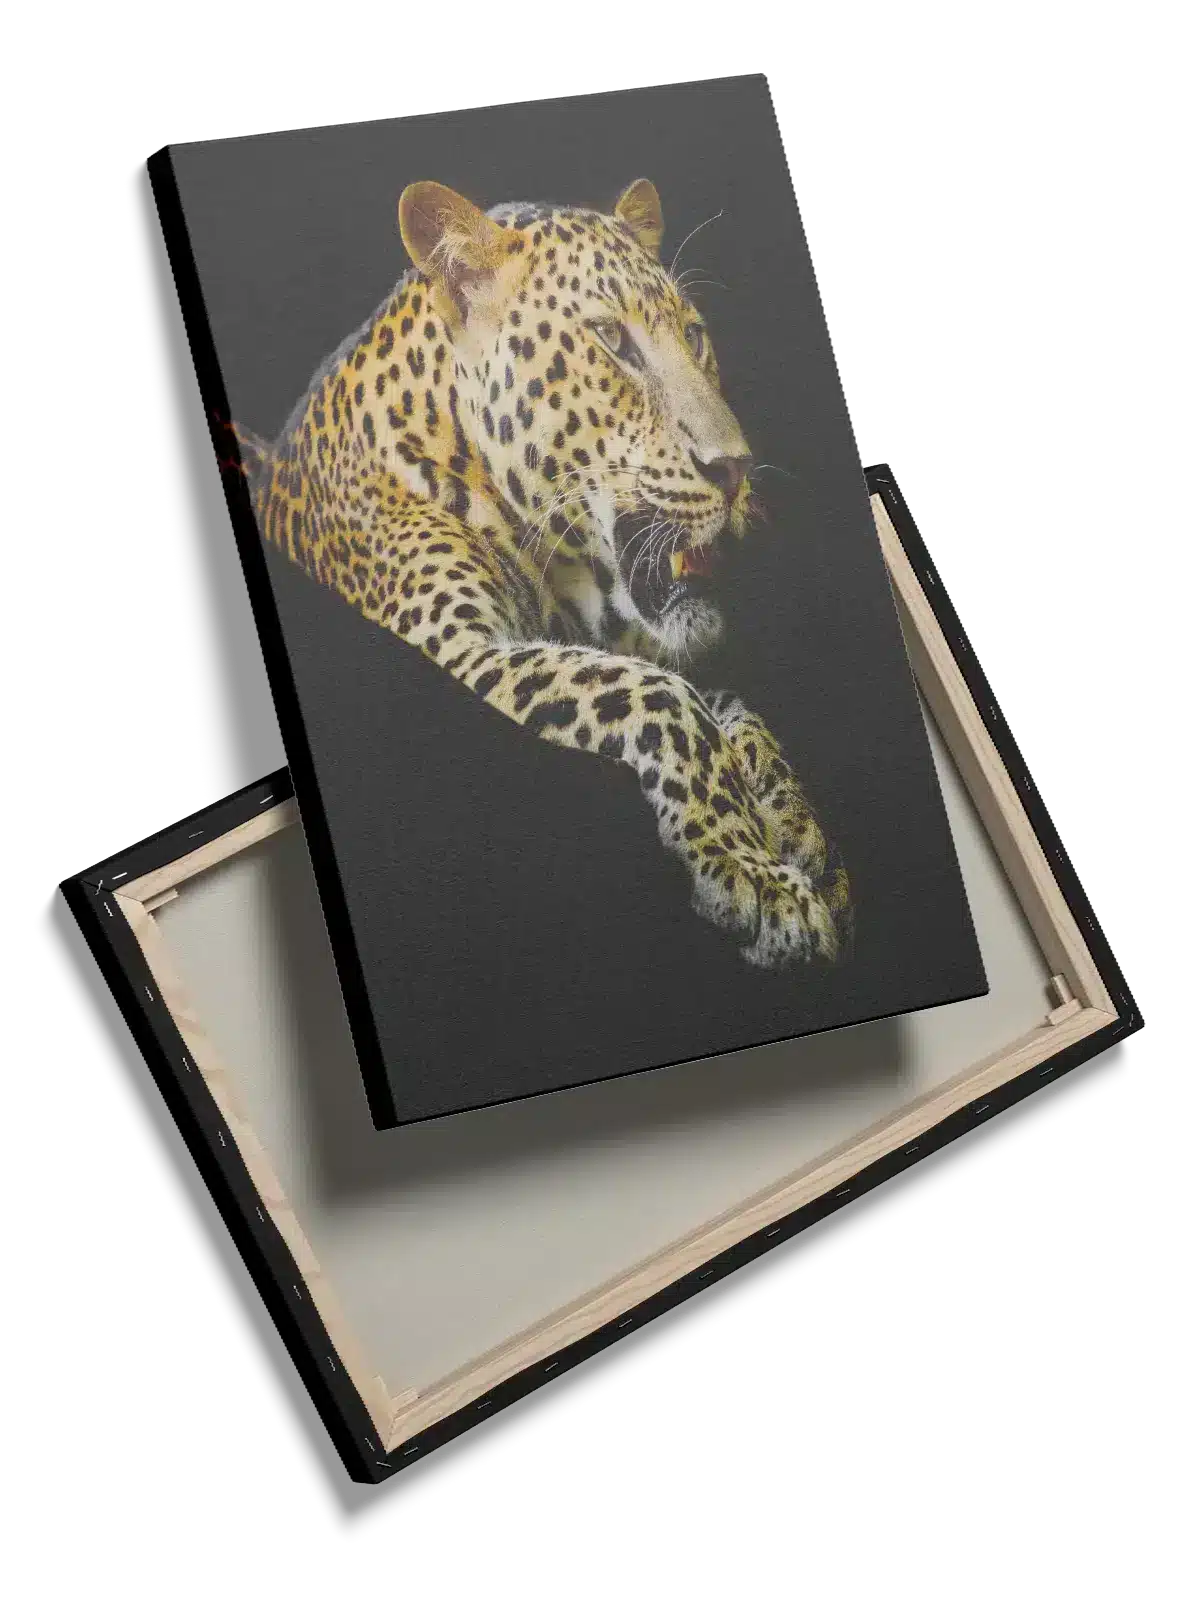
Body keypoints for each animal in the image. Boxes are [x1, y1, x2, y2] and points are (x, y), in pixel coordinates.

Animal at [232, 177, 852, 967]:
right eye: (613, 341)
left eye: (694, 336)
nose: (736, 470)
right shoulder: (459, 651)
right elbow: (664, 694)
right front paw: (755, 874)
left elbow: (732, 707)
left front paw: (799, 830)